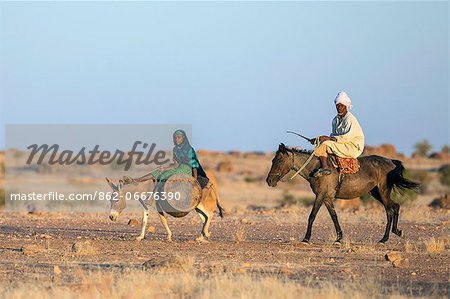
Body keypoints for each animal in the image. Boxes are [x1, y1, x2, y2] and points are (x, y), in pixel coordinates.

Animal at [266, 144, 420, 245]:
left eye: (278, 160)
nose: (269, 181)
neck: (316, 169)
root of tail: (391, 162)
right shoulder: (327, 198)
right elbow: (334, 217)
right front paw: (339, 238)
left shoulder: (320, 196)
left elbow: (311, 216)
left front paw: (306, 238)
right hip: (375, 192)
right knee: (395, 206)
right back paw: (397, 231)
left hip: (383, 191)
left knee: (389, 210)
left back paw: (384, 238)